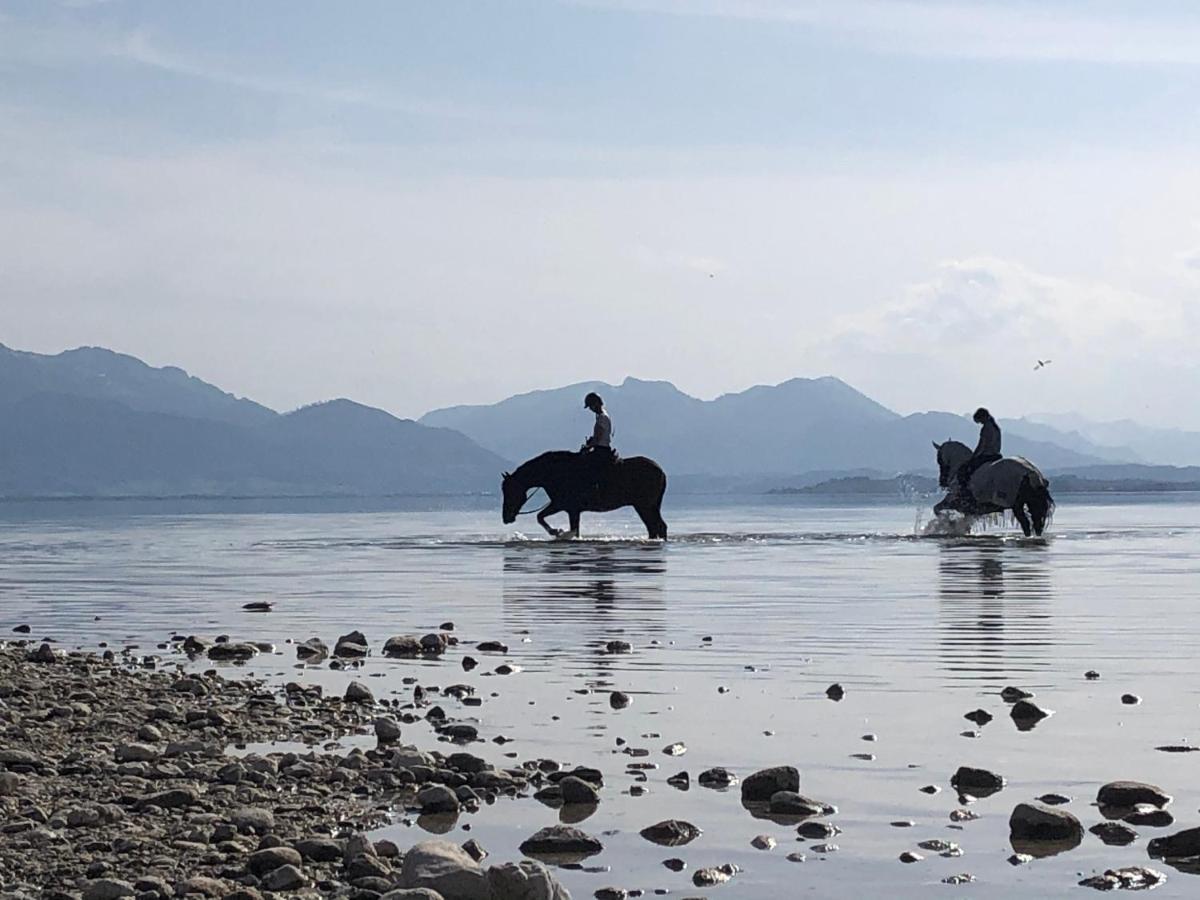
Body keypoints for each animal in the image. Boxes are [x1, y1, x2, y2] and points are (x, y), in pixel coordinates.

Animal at [496, 453, 667, 540]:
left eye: (510, 491)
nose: (506, 517)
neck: (553, 473)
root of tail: (660, 471)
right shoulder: (570, 509)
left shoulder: (564, 506)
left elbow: (540, 517)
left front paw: (557, 531)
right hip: (648, 506)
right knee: (655, 527)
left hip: (644, 506)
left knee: (657, 526)